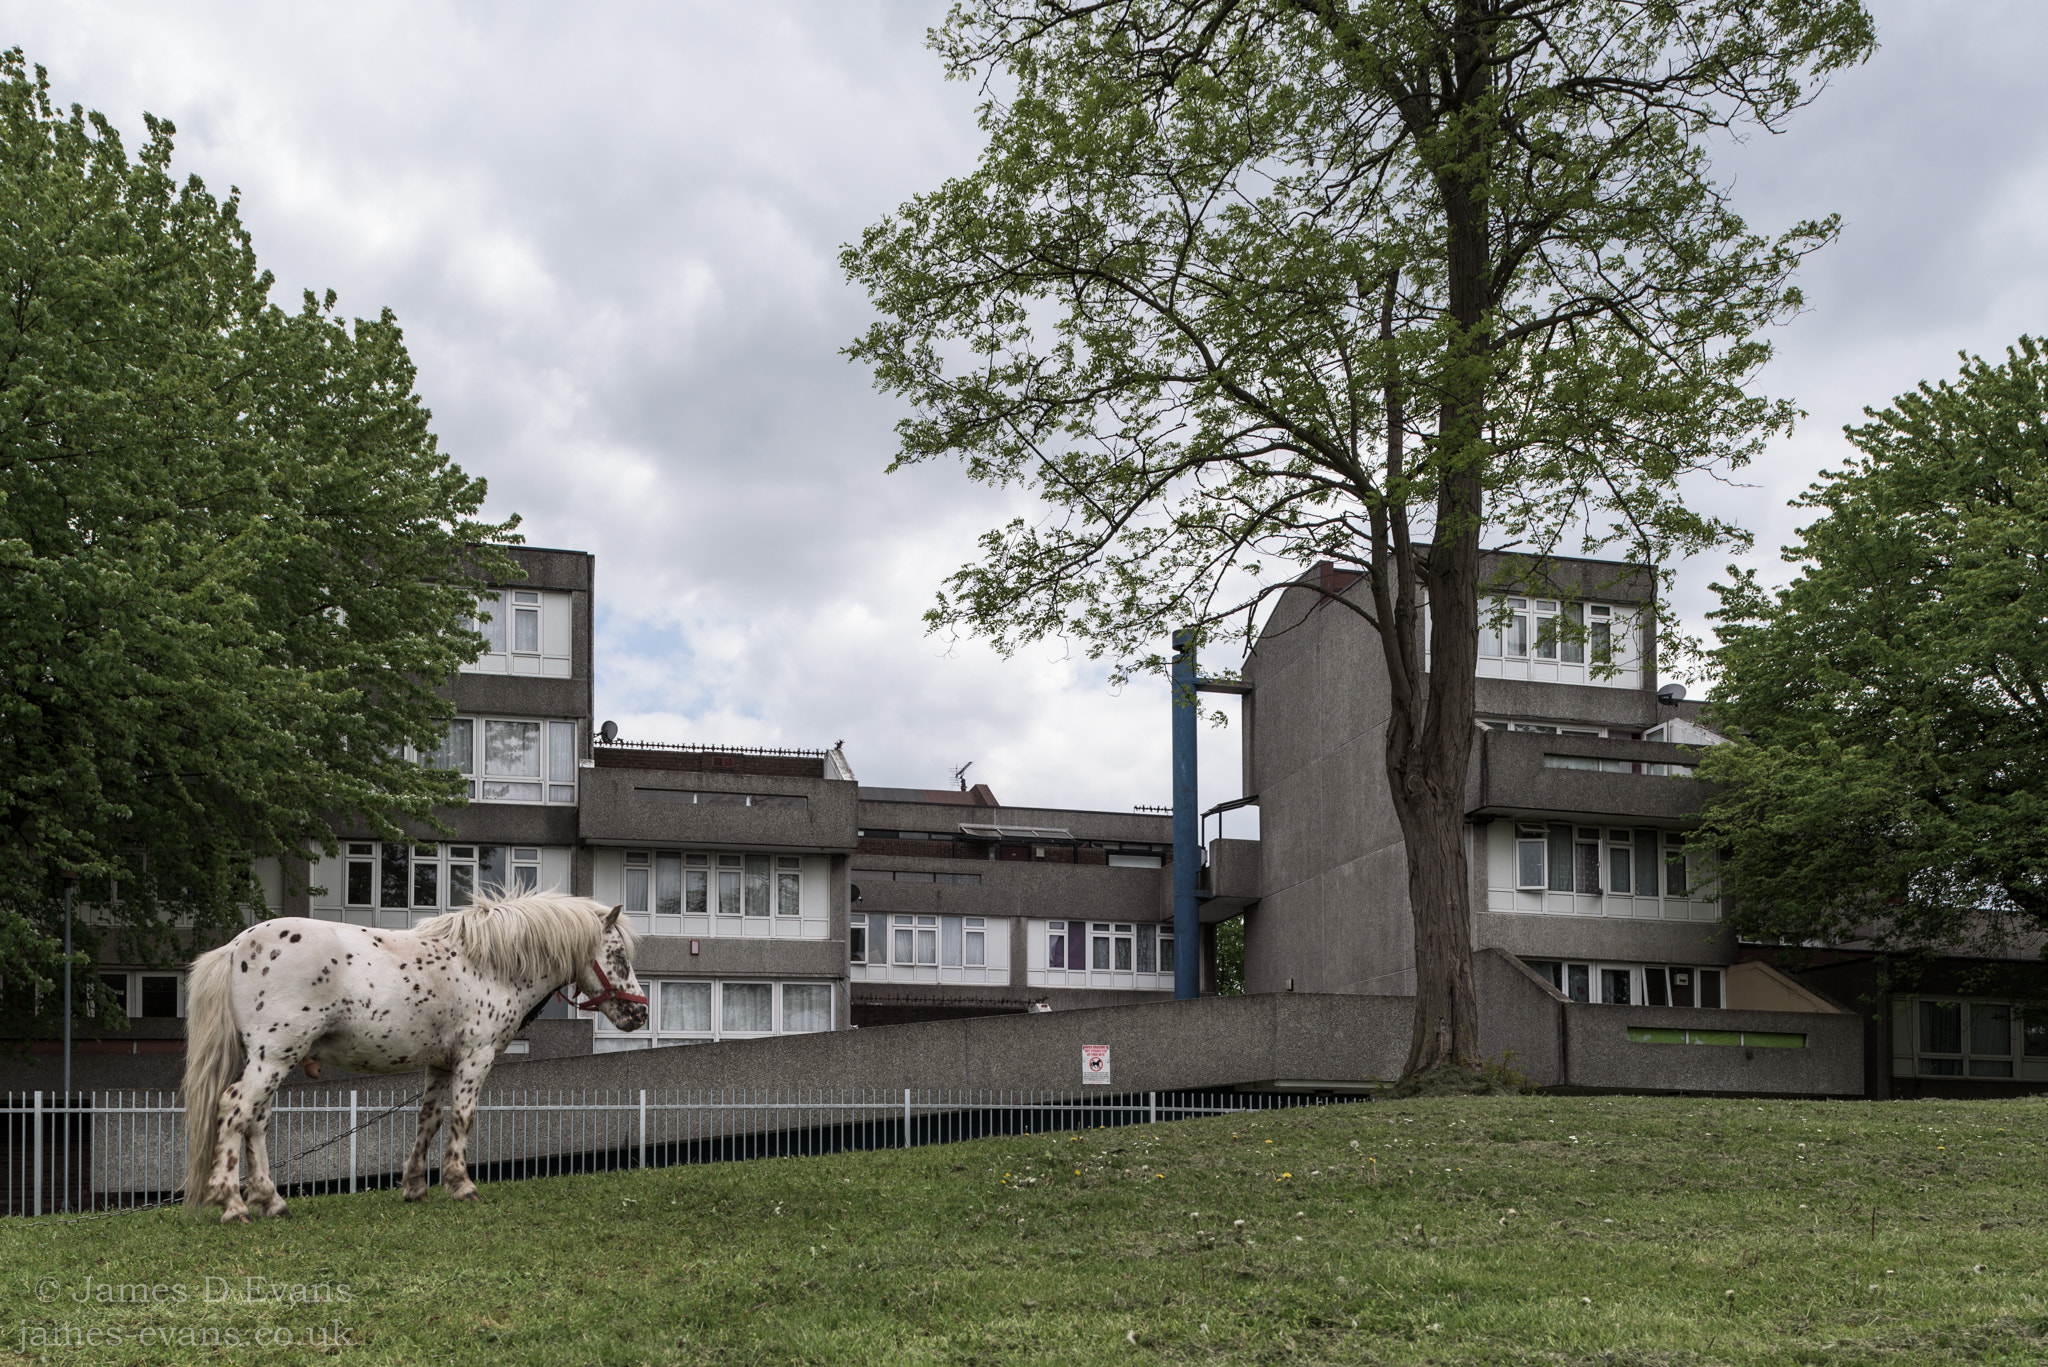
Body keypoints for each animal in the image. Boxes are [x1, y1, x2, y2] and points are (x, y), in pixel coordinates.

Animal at [190, 893, 647, 1221]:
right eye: (618, 956)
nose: (640, 1013)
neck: (490, 965)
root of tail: (236, 946)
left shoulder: (440, 1064)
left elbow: (429, 1119)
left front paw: (415, 1186)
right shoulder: (476, 1057)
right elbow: (463, 1117)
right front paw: (461, 1184)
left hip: (273, 1060)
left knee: (256, 1121)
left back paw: (271, 1201)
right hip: (274, 1057)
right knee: (234, 1110)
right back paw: (232, 1203)